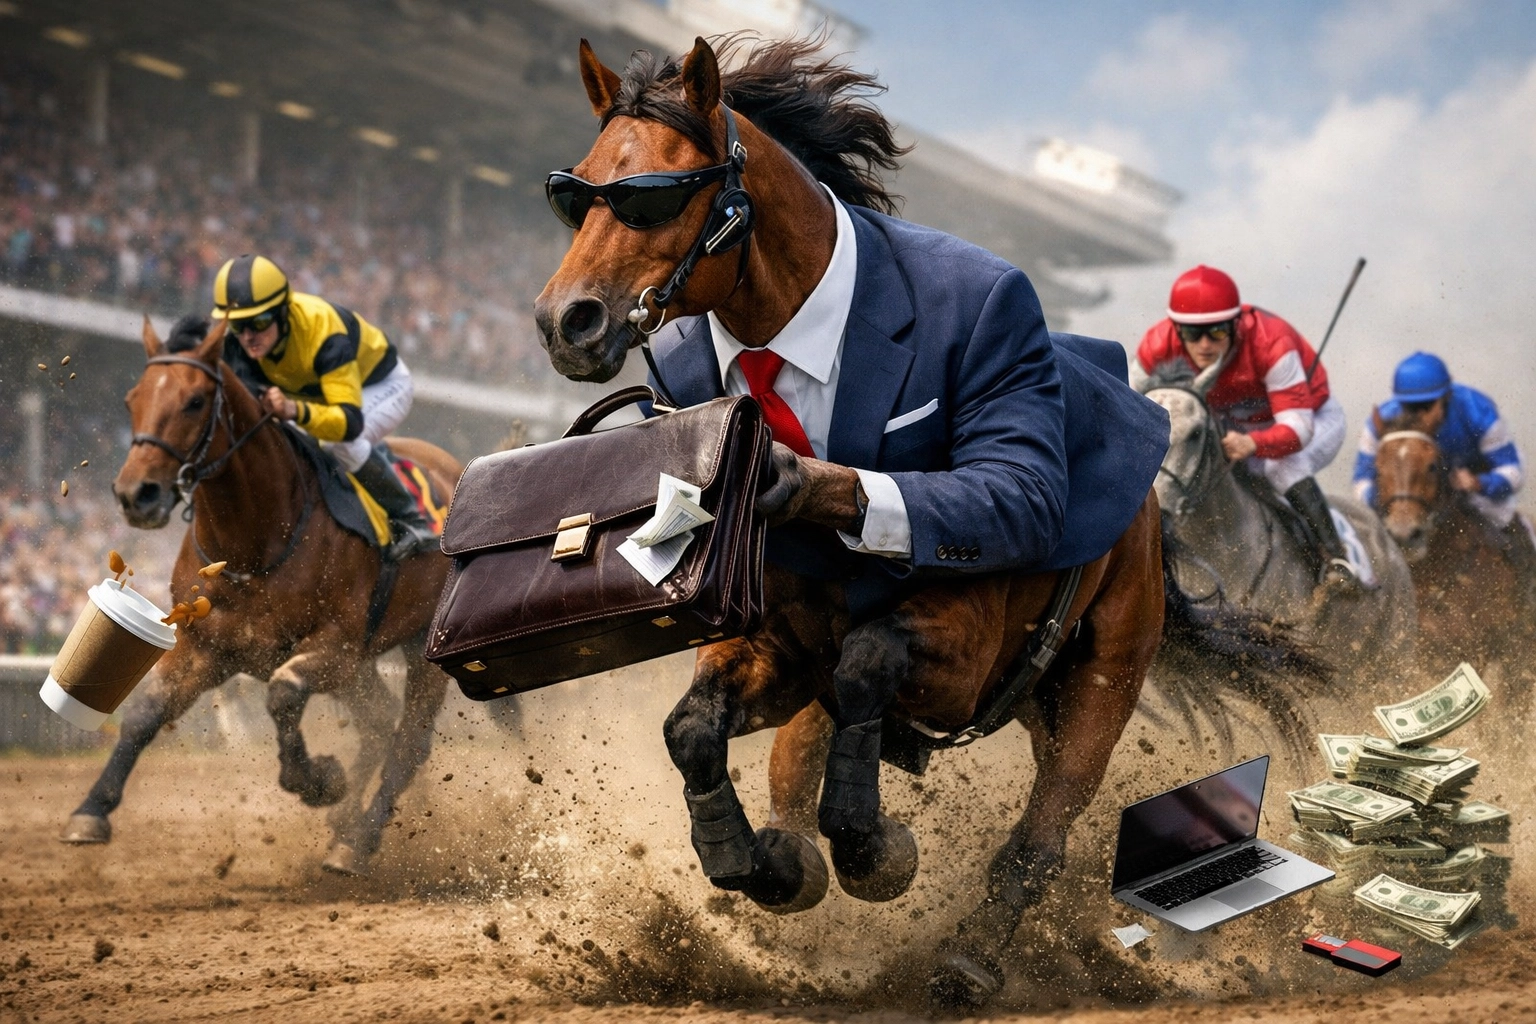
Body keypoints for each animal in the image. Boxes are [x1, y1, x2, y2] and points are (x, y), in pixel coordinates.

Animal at [59, 316, 461, 875]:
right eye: (131, 398)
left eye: (195, 401)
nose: (135, 495)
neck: (254, 542)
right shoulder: (206, 646)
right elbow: (144, 712)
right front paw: (90, 812)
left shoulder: (334, 644)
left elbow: (283, 694)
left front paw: (319, 781)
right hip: (361, 667)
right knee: (380, 723)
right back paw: (347, 823)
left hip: (422, 649)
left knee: (407, 742)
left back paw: (357, 839)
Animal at [532, 36, 1324, 1006]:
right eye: (579, 191)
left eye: (655, 191)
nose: (566, 321)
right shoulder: (777, 652)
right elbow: (697, 731)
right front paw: (762, 863)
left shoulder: (959, 650)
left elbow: (874, 662)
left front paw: (876, 850)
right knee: (808, 764)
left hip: (1096, 684)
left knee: (1038, 840)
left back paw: (968, 959)